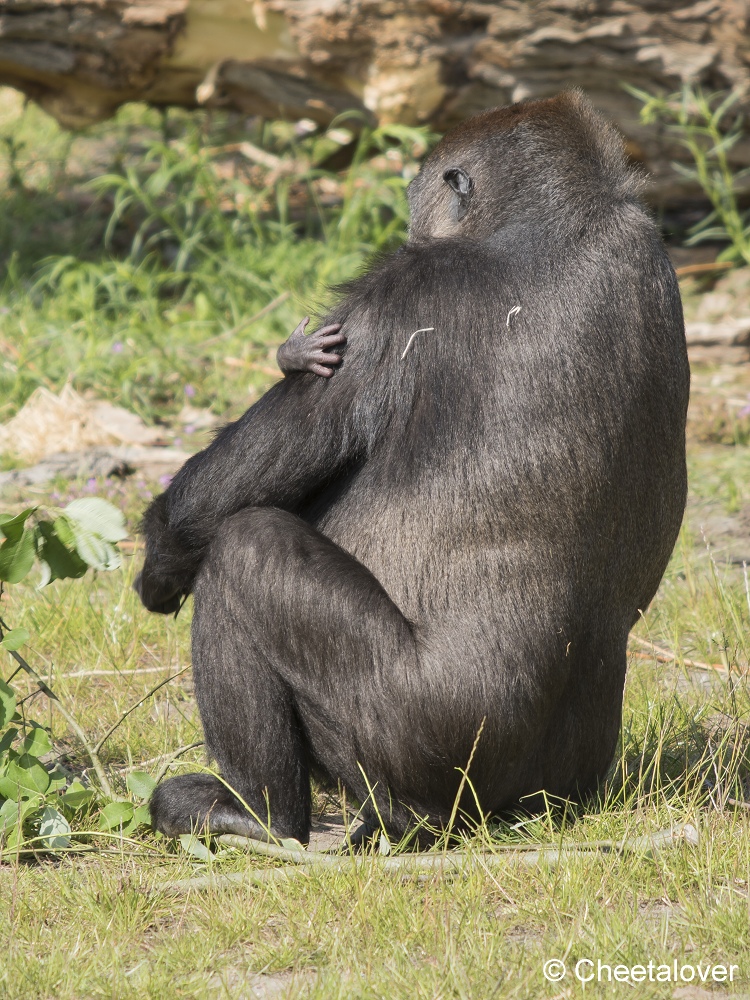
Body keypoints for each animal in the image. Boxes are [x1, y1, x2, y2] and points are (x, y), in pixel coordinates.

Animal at [137, 92, 692, 844]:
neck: (570, 220)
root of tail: (496, 818)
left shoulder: (399, 287)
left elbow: (204, 507)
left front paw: (158, 563)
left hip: (420, 767)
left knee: (246, 545)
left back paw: (253, 811)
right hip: (559, 792)